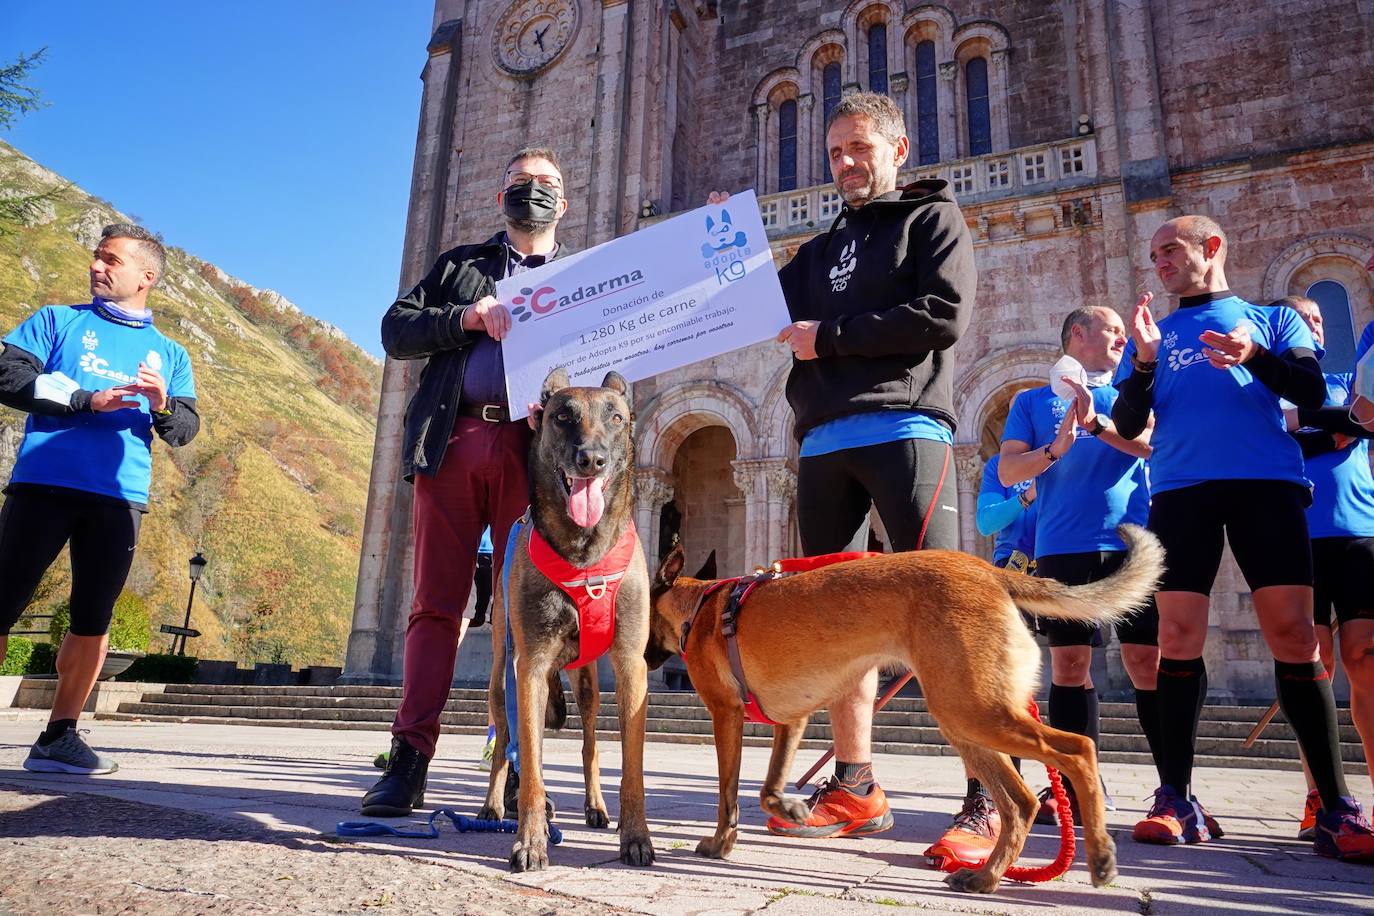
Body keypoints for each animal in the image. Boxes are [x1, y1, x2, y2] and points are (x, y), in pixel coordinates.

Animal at [483, 368, 654, 873]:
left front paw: (636, 837)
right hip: (502, 676)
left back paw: (595, 806)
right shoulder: (531, 668)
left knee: (590, 745)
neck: (584, 554)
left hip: (589, 685)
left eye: (616, 418)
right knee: (505, 743)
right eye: (562, 417)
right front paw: (530, 842)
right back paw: (492, 806)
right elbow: (533, 770)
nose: (591, 461)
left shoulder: (631, 667)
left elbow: (631, 768)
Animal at [648, 530, 1165, 895]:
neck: (702, 604)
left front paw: (719, 844)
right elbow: (770, 789)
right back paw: (985, 878)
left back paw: (1099, 855)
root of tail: (988, 572)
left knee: (1078, 749)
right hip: (965, 721)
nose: (647, 662)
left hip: (972, 711)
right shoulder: (791, 719)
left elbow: (729, 794)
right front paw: (791, 809)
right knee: (1021, 802)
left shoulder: (726, 717)